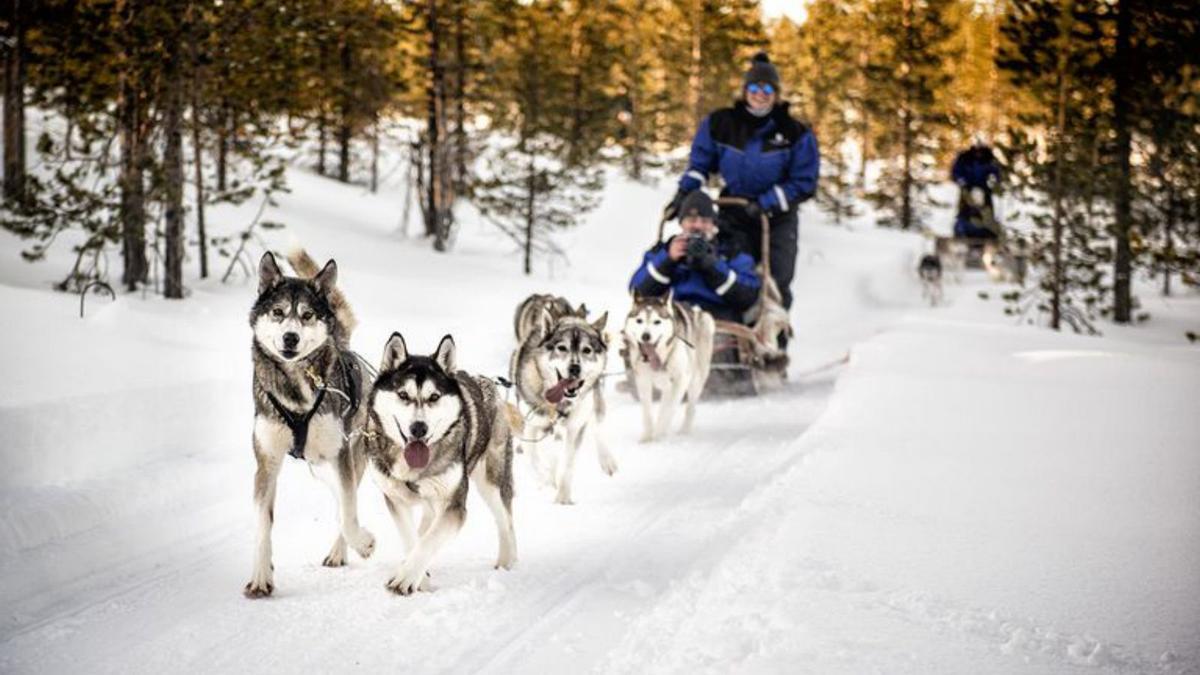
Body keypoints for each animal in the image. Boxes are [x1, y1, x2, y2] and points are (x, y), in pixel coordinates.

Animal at [364, 333, 516, 590]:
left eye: (434, 397)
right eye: (403, 395)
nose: (418, 428)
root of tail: (487, 381)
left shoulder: (454, 506)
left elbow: (429, 541)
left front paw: (407, 578)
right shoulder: (395, 500)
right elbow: (412, 538)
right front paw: (419, 577)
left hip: (492, 482)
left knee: (505, 520)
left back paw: (508, 562)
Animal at [508, 295, 619, 504]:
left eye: (587, 350)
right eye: (562, 348)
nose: (575, 368)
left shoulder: (575, 428)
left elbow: (568, 464)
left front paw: (563, 498)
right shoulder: (532, 425)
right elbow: (533, 456)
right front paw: (545, 480)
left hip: (594, 403)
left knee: (598, 425)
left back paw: (607, 460)